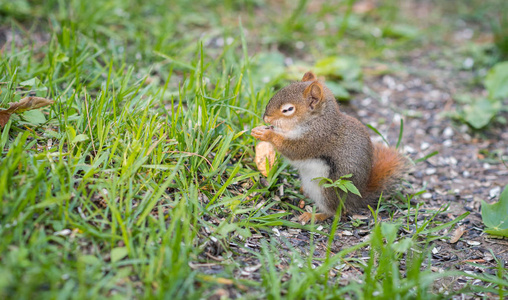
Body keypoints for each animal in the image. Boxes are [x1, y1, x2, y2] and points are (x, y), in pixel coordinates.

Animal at [251, 71, 408, 224]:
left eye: (288, 109)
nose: (266, 118)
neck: (317, 120)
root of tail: (357, 198)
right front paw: (260, 129)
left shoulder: (316, 139)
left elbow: (293, 150)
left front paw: (267, 134)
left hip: (328, 190)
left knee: (335, 212)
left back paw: (313, 215)